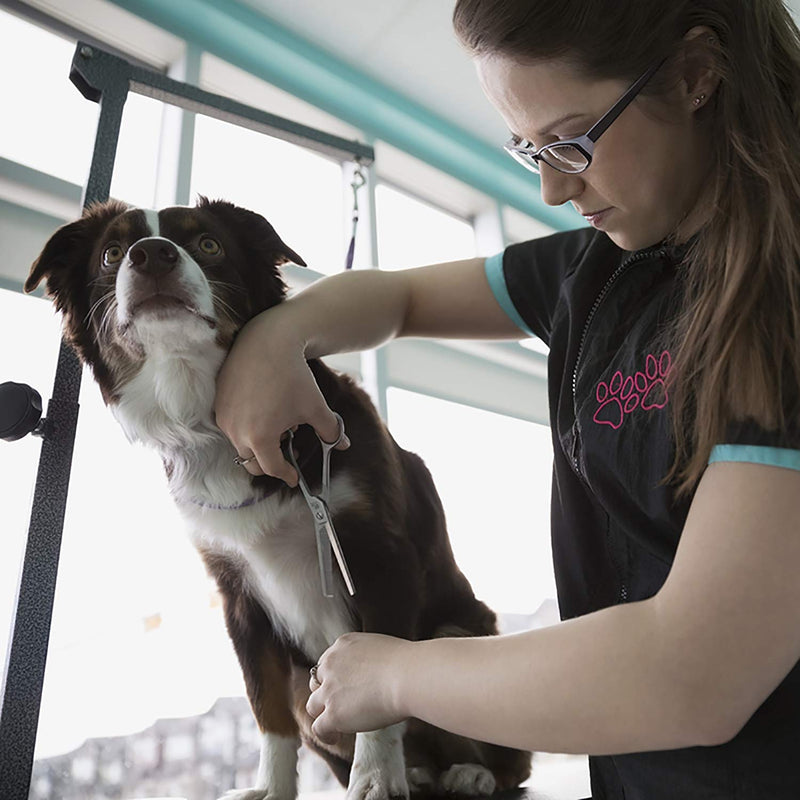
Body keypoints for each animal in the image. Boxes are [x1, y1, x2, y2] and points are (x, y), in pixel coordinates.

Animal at [26, 198, 532, 800]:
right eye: (111, 253)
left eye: (209, 245)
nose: (151, 255)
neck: (215, 422)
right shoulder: (238, 596)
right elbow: (265, 707)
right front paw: (271, 786)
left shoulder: (379, 557)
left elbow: (374, 678)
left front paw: (376, 777)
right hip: (304, 683)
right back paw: (416, 770)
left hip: (453, 632)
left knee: (509, 761)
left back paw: (470, 772)